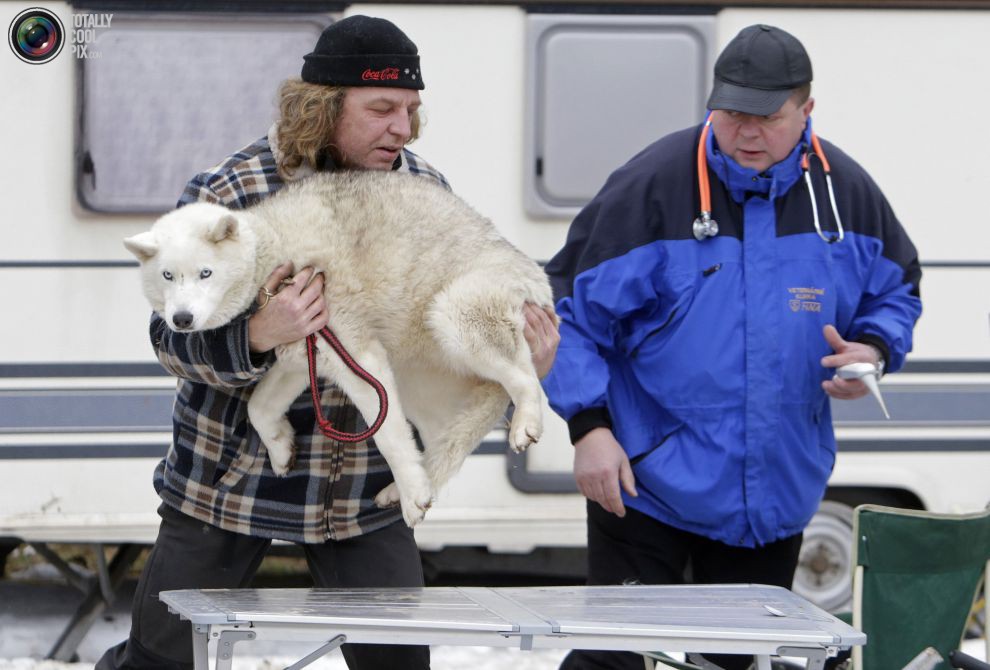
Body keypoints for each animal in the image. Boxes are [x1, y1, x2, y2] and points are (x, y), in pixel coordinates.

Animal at [123, 171, 556, 528]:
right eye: (167, 276)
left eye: (205, 273)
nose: (181, 320)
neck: (272, 254)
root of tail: (537, 275)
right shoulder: (302, 356)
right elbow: (258, 407)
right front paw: (281, 448)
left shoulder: (357, 355)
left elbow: (389, 436)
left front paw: (414, 499)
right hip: (418, 383)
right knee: (450, 440)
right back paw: (413, 484)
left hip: (453, 315)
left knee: (527, 380)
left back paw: (524, 425)